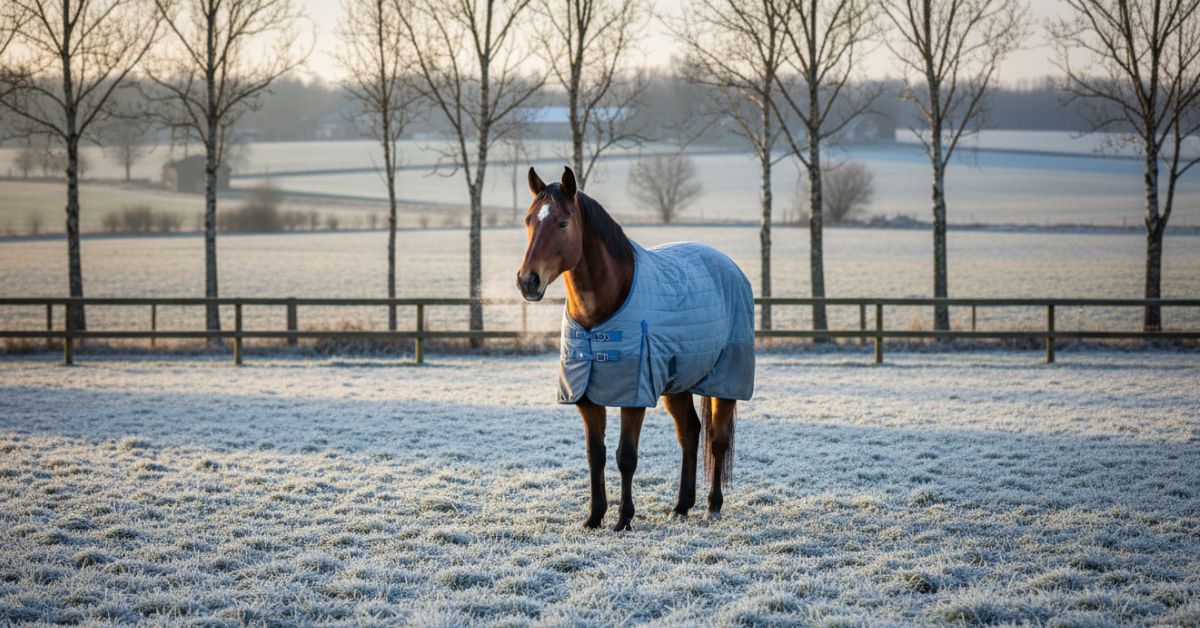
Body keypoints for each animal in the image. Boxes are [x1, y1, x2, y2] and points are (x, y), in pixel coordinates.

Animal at [517, 165, 755, 531]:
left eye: (562, 223)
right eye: (529, 220)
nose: (528, 281)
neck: (598, 317)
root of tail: (729, 266)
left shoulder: (634, 396)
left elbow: (625, 456)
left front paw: (623, 519)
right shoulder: (587, 397)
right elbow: (596, 455)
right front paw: (594, 517)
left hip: (725, 381)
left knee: (717, 440)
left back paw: (712, 506)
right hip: (678, 384)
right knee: (689, 433)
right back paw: (681, 506)